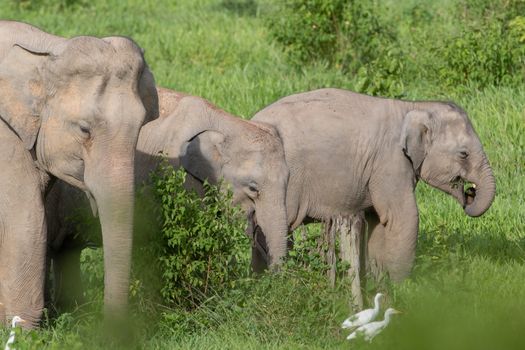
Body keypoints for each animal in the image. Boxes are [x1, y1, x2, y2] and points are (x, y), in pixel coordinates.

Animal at [0, 21, 158, 328]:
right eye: (85, 129)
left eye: (141, 128)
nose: (110, 330)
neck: (48, 49)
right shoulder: (5, 140)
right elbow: (27, 218)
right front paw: (22, 329)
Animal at [252, 88, 494, 282]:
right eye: (463, 154)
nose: (470, 192)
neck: (415, 107)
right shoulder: (390, 162)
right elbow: (403, 218)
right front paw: (402, 289)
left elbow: (377, 221)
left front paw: (380, 283)